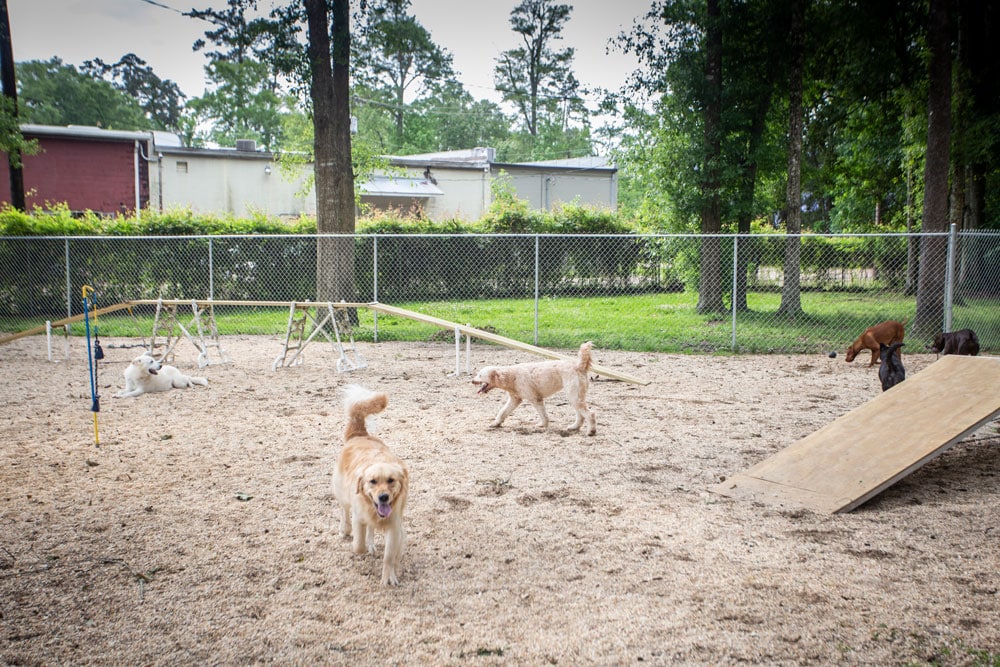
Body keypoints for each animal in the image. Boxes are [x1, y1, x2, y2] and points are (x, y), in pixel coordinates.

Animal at [332, 384, 410, 588]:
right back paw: (344, 529)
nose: (383, 497)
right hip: (342, 493)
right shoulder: (360, 516)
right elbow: (358, 545)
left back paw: (372, 543)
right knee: (344, 510)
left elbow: (390, 555)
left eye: (391, 480)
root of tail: (359, 434)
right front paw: (360, 546)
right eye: (372, 481)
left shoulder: (394, 526)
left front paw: (389, 576)